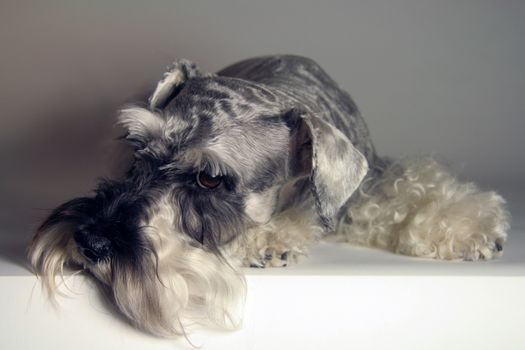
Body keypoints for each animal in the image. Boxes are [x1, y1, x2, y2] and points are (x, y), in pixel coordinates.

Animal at [27, 54, 508, 336]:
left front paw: (471, 231)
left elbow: (412, 190)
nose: (89, 241)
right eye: (137, 147)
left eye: (210, 179)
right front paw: (268, 238)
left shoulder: (372, 180)